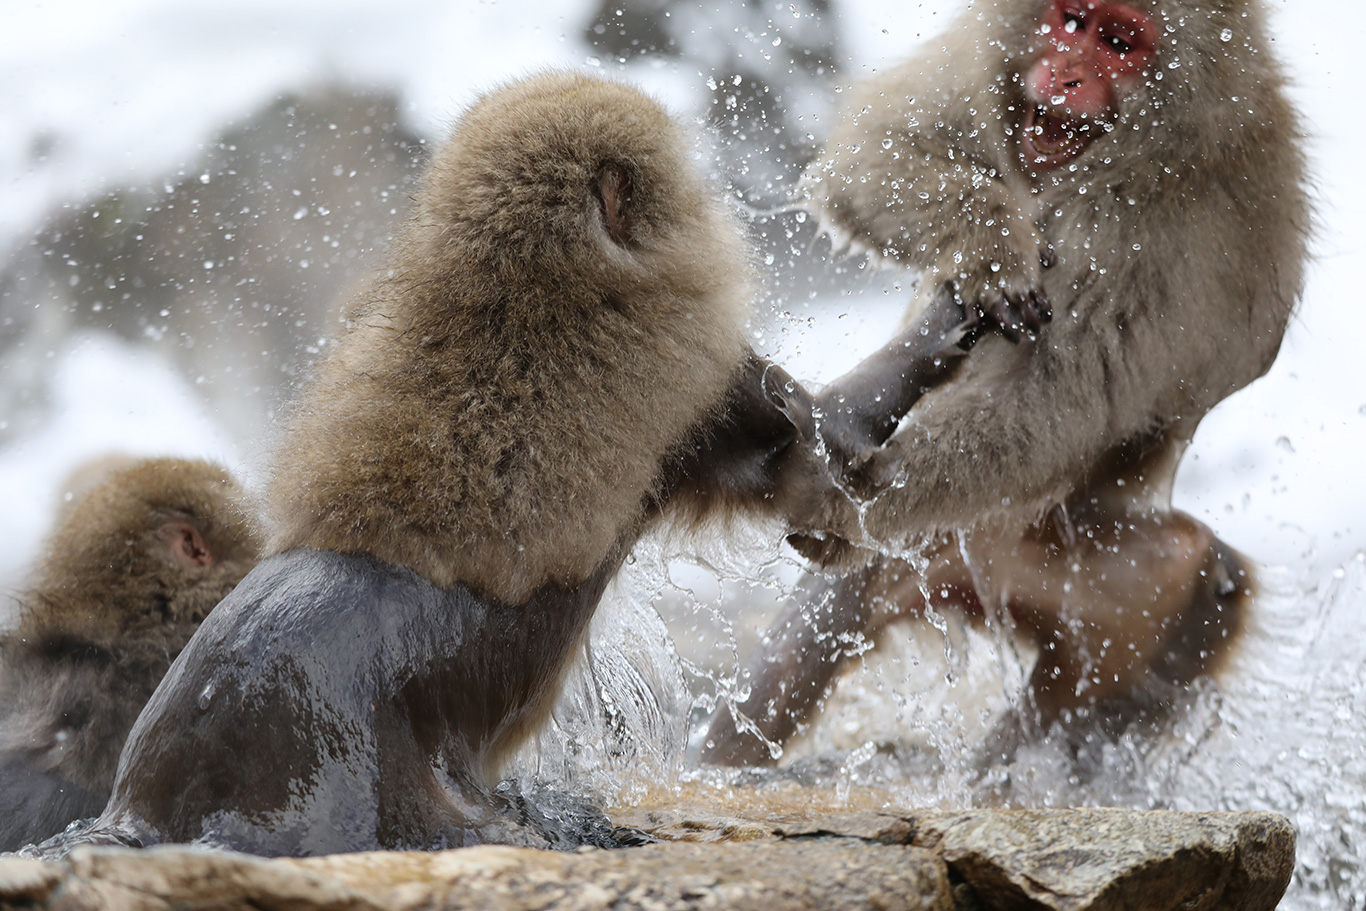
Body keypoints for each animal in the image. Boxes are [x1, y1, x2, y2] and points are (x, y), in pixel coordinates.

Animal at [53, 69, 983, 857]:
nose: (717, 181)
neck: (543, 293)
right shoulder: (703, 380)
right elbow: (814, 441)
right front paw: (948, 320)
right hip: (350, 770)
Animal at [704, 0, 1311, 770]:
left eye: (1120, 43)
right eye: (1074, 22)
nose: (1067, 73)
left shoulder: (1178, 231)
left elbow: (1062, 405)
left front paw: (830, 494)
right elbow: (872, 152)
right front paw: (992, 251)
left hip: (1105, 578)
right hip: (936, 548)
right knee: (830, 615)